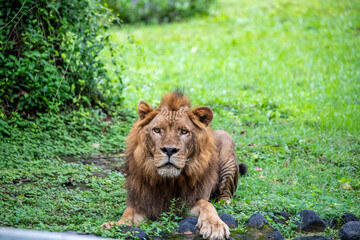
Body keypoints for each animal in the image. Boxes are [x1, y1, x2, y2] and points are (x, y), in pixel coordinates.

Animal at [102, 92, 246, 240]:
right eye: (157, 130)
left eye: (184, 131)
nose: (169, 150)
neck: (168, 182)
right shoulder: (141, 202)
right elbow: (127, 214)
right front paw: (114, 225)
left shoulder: (190, 203)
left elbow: (207, 205)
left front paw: (215, 226)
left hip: (227, 146)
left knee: (225, 193)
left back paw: (225, 203)